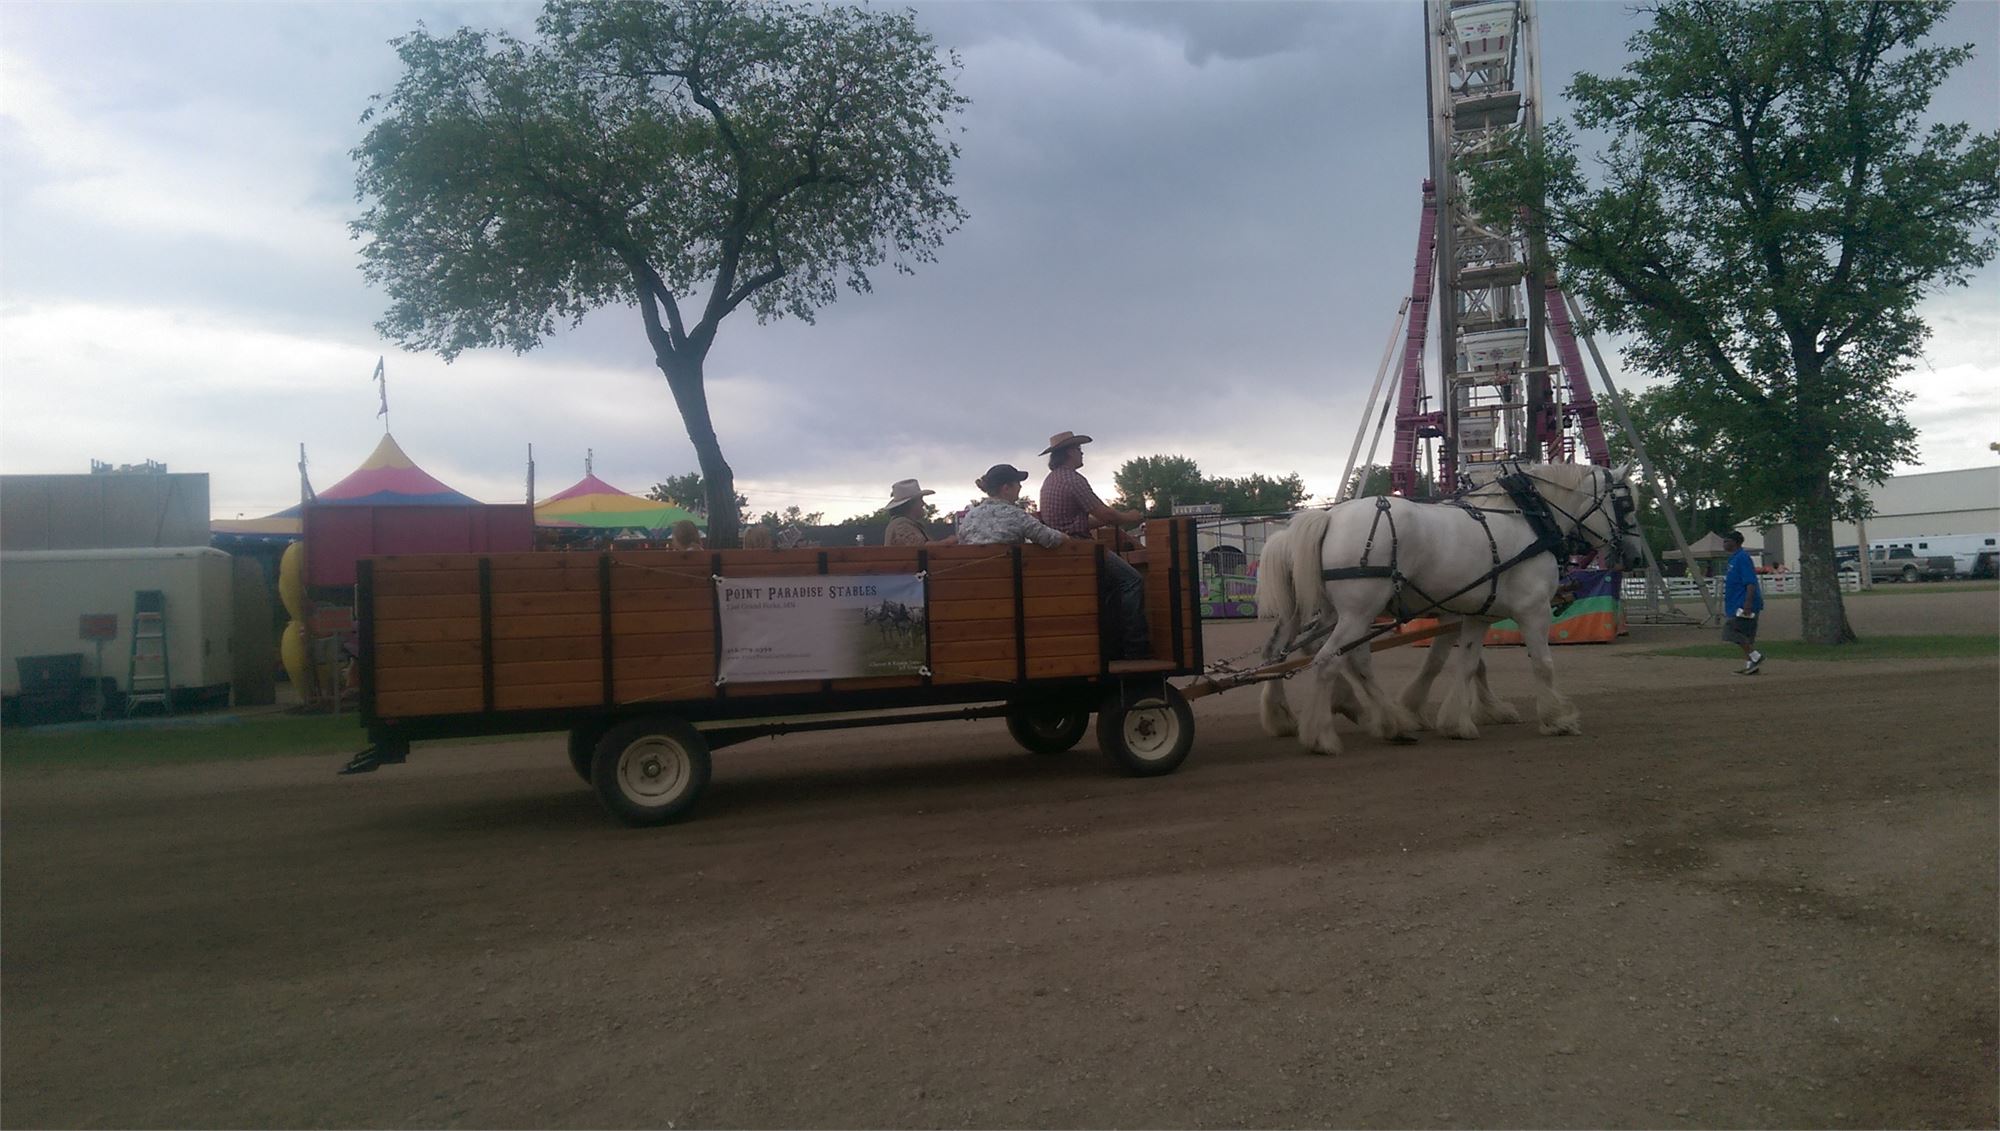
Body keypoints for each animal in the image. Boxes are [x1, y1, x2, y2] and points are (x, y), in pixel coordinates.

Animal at [1256, 465, 1648, 759]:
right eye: (1626, 504)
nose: (1636, 558)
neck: (1528, 519)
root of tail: (1329, 517)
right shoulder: (1533, 610)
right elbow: (1542, 665)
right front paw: (1557, 718)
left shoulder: (1474, 615)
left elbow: (1465, 664)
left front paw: (1457, 720)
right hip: (1357, 612)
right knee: (1326, 660)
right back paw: (1323, 736)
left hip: (1344, 614)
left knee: (1302, 654)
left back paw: (1385, 722)